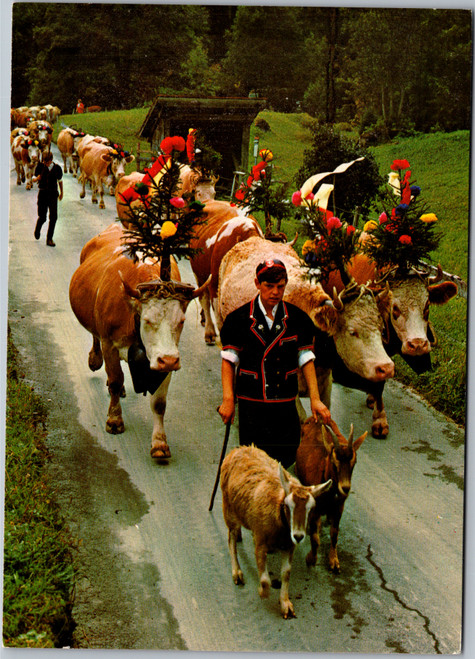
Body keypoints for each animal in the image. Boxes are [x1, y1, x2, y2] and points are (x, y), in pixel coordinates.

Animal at [68, 224, 208, 462]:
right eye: (148, 320)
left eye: (181, 321)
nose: (169, 360)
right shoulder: (110, 344)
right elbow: (115, 379)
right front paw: (114, 420)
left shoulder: (166, 356)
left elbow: (159, 403)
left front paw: (159, 443)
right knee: (96, 339)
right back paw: (95, 360)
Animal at [221, 444, 332, 620]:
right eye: (288, 505)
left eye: (311, 508)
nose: (298, 536)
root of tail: (238, 449)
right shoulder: (260, 541)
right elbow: (265, 579)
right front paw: (263, 592)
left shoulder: (289, 546)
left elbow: (286, 573)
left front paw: (285, 604)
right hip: (228, 508)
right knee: (230, 539)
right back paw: (237, 572)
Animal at [298, 422, 368, 572]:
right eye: (334, 462)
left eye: (354, 462)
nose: (345, 488)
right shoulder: (315, 509)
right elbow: (315, 538)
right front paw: (311, 559)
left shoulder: (339, 508)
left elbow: (334, 534)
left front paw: (334, 561)